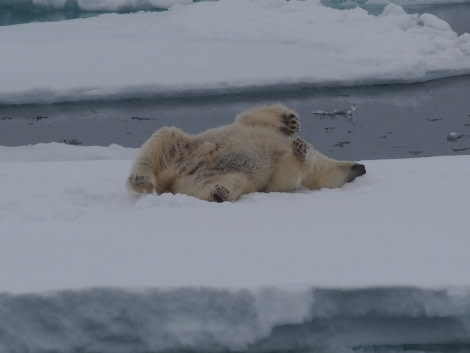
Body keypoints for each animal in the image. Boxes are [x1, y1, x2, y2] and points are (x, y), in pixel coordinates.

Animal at [126, 104, 366, 201]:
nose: (361, 166)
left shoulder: (278, 175)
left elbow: (281, 179)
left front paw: (301, 148)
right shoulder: (253, 127)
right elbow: (253, 118)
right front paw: (290, 121)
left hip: (208, 177)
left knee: (224, 182)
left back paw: (220, 193)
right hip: (186, 148)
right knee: (163, 140)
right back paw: (139, 178)